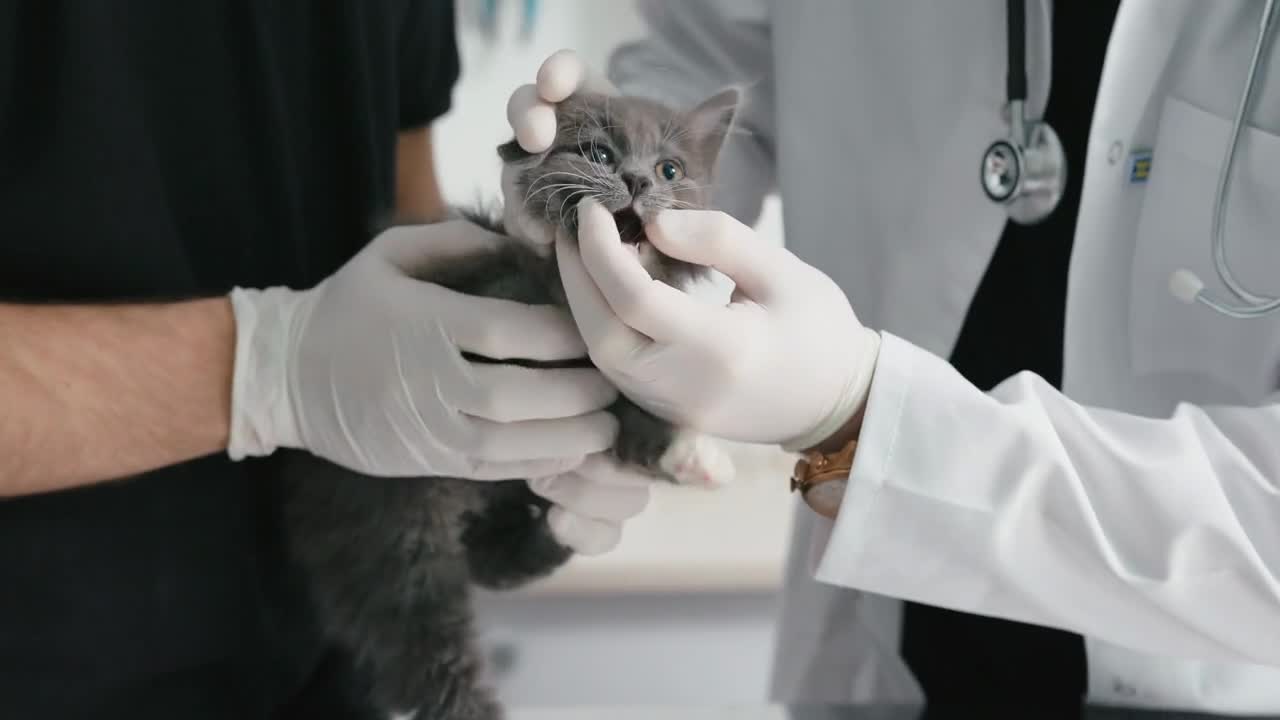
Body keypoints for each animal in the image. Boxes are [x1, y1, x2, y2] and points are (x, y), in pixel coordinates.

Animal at [279, 87, 742, 712]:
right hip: (389, 524)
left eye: (671, 169)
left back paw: (555, 534)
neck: (574, 300)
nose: (639, 179)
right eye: (599, 153)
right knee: (421, 644)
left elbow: (630, 416)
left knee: (489, 559)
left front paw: (689, 453)